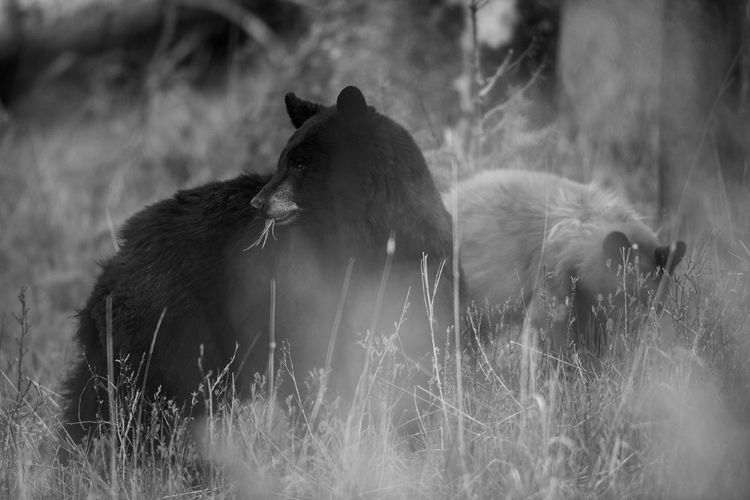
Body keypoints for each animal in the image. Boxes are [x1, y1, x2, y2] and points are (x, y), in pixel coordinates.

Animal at [60, 86, 458, 450]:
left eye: (300, 163)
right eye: (283, 159)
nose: (258, 202)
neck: (365, 233)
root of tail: (118, 258)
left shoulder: (423, 266)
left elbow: (418, 353)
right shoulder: (302, 291)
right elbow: (314, 364)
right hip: (168, 325)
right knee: (149, 398)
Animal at [446, 170, 688, 358]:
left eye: (656, 303)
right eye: (628, 296)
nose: (640, 336)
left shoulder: (587, 300)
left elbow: (590, 336)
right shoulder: (553, 273)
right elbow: (549, 328)